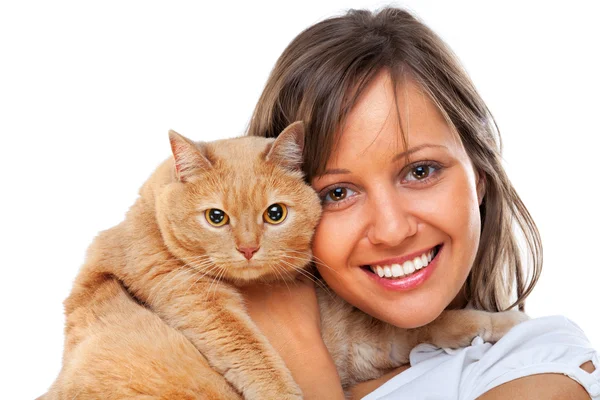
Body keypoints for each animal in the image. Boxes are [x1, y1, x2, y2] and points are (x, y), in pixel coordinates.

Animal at [44, 122, 528, 400]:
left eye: (274, 214)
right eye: (216, 217)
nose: (247, 248)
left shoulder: (363, 343)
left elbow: (435, 323)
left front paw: (503, 323)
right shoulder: (194, 299)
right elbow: (256, 359)